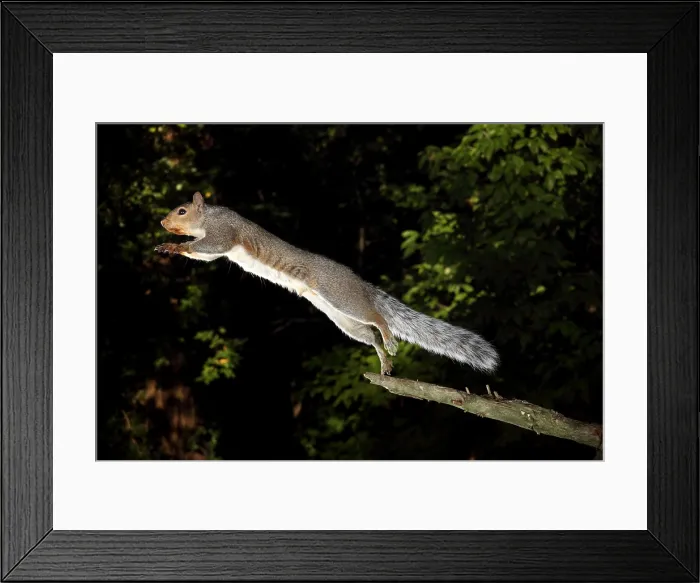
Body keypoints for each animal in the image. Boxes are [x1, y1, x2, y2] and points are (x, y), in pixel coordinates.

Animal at [155, 192, 499, 376]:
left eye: (182, 210)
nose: (162, 222)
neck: (207, 218)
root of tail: (360, 283)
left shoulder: (223, 232)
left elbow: (209, 247)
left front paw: (175, 246)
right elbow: (205, 253)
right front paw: (171, 246)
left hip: (342, 297)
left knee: (378, 319)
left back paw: (389, 342)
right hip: (341, 318)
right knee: (370, 334)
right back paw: (385, 362)